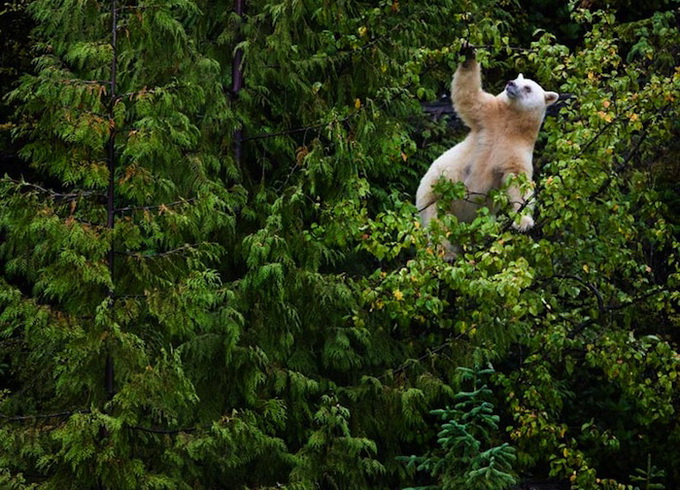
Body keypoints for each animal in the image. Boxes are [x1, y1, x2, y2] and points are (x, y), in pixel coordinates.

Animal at [414, 47, 556, 258]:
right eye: (517, 78)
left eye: (528, 87)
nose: (510, 83)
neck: (510, 124)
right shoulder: (487, 118)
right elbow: (469, 97)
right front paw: (468, 53)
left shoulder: (517, 150)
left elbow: (518, 182)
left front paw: (524, 223)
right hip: (432, 196)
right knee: (437, 224)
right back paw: (447, 253)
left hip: (481, 220)